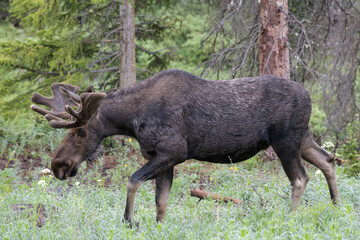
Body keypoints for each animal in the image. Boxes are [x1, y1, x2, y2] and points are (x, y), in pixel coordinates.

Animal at [31, 69, 340, 223]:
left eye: (80, 131)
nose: (58, 165)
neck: (132, 121)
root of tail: (309, 96)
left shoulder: (173, 152)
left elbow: (132, 181)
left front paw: (130, 221)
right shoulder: (162, 157)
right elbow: (161, 204)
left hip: (285, 141)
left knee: (300, 178)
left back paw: (290, 219)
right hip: (303, 138)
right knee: (327, 161)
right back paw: (337, 208)